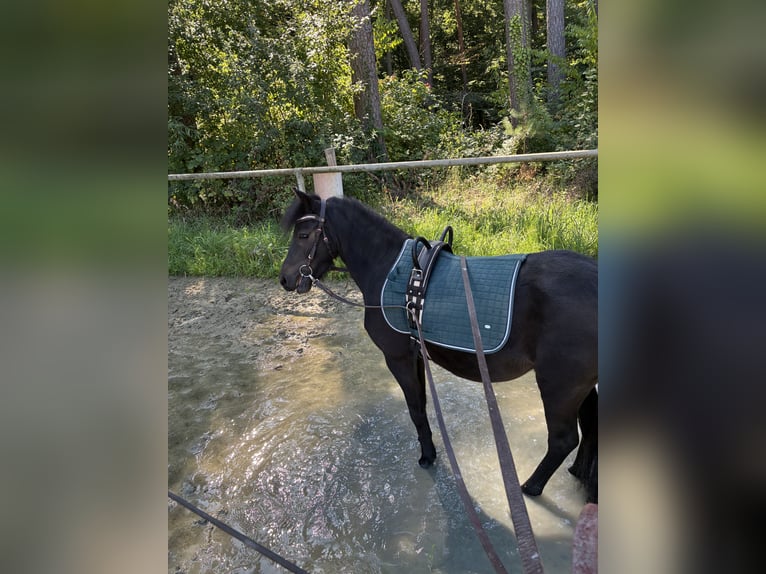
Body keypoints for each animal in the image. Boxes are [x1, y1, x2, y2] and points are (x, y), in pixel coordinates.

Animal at [279, 190, 598, 502]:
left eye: (303, 235)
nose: (285, 278)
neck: (391, 271)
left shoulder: (398, 359)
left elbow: (415, 409)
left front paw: (427, 456)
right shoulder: (415, 357)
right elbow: (421, 404)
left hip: (560, 385)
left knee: (563, 440)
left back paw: (531, 486)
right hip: (579, 386)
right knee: (589, 428)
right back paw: (578, 472)